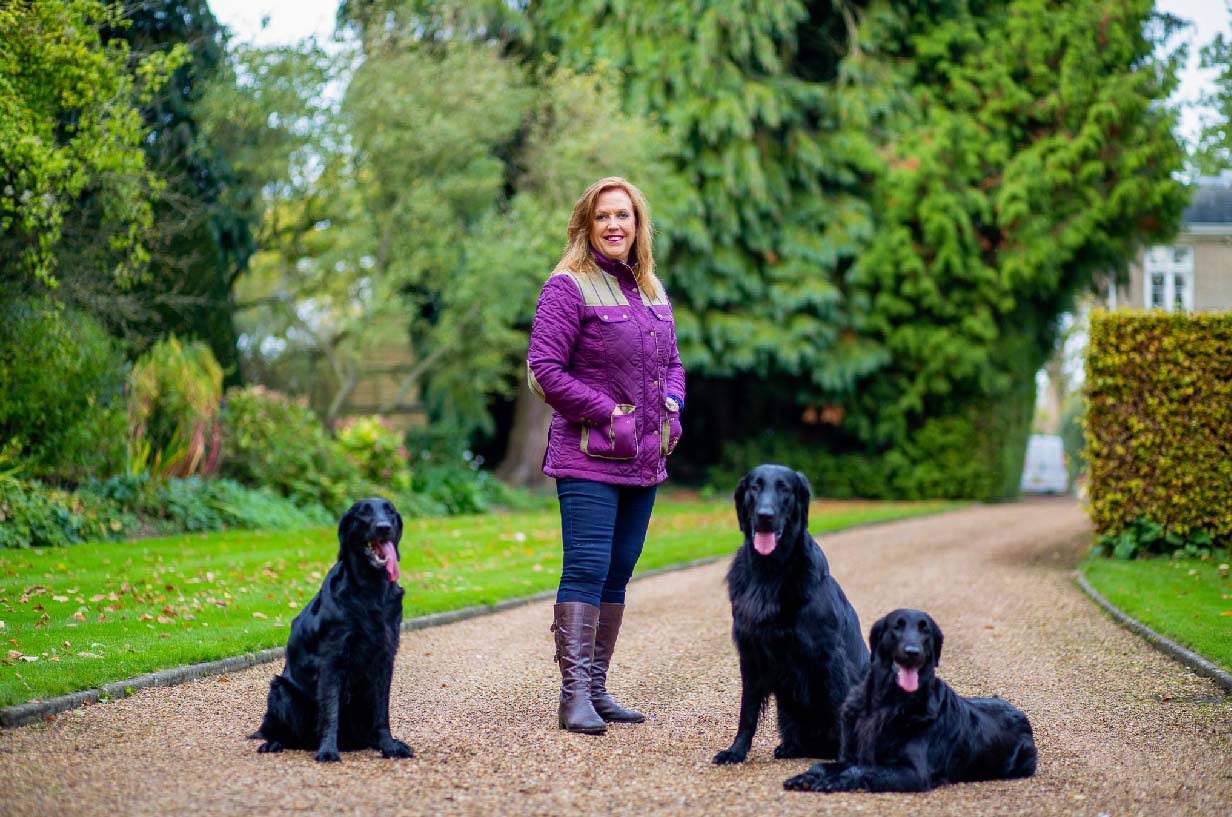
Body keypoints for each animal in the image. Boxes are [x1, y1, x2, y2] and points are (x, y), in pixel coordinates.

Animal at [251, 497, 413, 768]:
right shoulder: (331, 659)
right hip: (280, 689)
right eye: (363, 513)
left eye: (389, 511)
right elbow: (330, 712)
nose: (383, 527)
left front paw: (389, 746)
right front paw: (327, 751)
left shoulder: (385, 657)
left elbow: (382, 712)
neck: (370, 590)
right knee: (276, 730)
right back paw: (273, 743)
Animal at [709, 465, 872, 768]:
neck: (769, 573)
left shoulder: (829, 655)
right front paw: (735, 751)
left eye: (784, 488)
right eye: (754, 487)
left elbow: (837, 707)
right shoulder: (751, 654)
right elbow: (747, 712)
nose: (765, 516)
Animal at [783, 606, 1034, 793]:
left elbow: (862, 770)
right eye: (897, 626)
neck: (885, 704)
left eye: (926, 631)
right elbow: (821, 764)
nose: (912, 652)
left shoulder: (913, 772)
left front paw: (833, 781)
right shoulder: (851, 754)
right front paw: (807, 777)